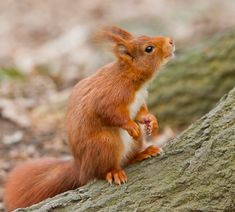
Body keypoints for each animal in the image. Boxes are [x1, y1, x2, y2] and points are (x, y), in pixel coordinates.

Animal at [3, 25, 174, 210]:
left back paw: (144, 152)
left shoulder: (139, 100)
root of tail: (81, 167)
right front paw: (131, 126)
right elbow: (110, 113)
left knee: (127, 159)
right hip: (105, 143)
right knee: (101, 171)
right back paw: (114, 172)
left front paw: (151, 121)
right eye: (149, 48)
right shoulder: (109, 96)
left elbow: (140, 113)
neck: (132, 79)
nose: (171, 41)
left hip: (130, 144)